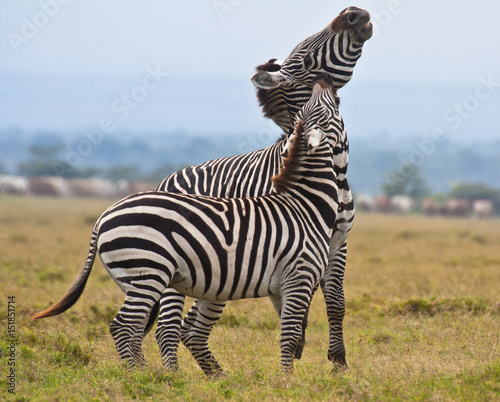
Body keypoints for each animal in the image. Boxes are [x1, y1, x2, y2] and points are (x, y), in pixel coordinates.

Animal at [33, 74, 350, 376]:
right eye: (333, 105)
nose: (323, 81)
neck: (306, 204)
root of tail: (103, 216)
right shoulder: (299, 277)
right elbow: (290, 334)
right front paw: (286, 380)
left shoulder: (284, 285)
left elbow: (293, 332)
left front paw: (289, 372)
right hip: (149, 271)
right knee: (126, 326)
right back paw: (145, 376)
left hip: (135, 280)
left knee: (136, 328)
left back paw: (150, 374)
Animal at [153, 6, 372, 370]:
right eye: (307, 59)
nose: (354, 13)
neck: (336, 173)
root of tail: (168, 178)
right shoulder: (288, 244)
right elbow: (290, 311)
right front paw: (296, 352)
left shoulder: (337, 243)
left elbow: (336, 301)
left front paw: (338, 361)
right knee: (168, 326)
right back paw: (172, 376)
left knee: (190, 328)